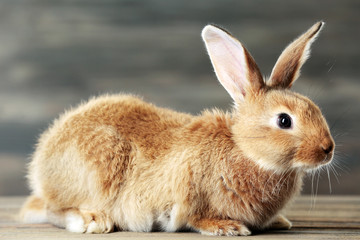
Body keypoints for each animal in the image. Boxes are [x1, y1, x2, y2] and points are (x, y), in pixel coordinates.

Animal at [20, 22, 334, 236]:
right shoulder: (188, 195)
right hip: (97, 170)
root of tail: (40, 165)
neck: (245, 150)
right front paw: (227, 227)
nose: (328, 150)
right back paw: (93, 221)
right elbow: (195, 217)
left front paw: (279, 221)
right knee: (54, 209)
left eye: (315, 108)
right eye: (284, 121)